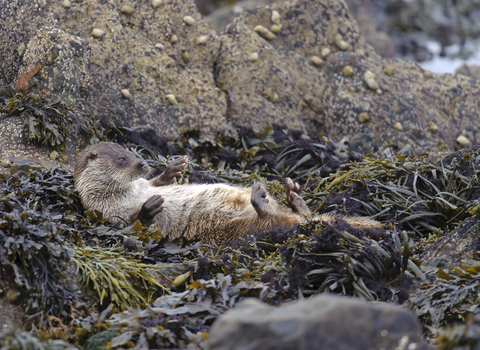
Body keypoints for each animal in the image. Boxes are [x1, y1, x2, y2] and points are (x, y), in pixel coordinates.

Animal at [74, 142, 378, 243]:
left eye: (131, 151)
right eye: (122, 159)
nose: (143, 163)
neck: (128, 195)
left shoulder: (144, 185)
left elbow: (157, 183)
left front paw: (173, 168)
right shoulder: (110, 216)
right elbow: (138, 227)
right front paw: (150, 207)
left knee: (299, 216)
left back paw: (294, 196)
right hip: (235, 229)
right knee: (271, 222)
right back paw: (262, 199)